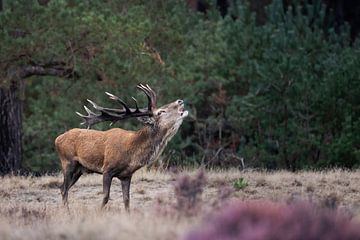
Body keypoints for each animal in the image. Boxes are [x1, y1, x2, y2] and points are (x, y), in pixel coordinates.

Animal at [55, 84, 188, 210]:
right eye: (161, 112)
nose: (180, 101)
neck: (131, 155)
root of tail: (57, 139)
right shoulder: (107, 169)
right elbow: (106, 197)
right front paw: (98, 212)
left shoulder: (126, 175)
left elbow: (127, 200)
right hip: (67, 162)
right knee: (64, 188)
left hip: (79, 169)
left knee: (63, 188)